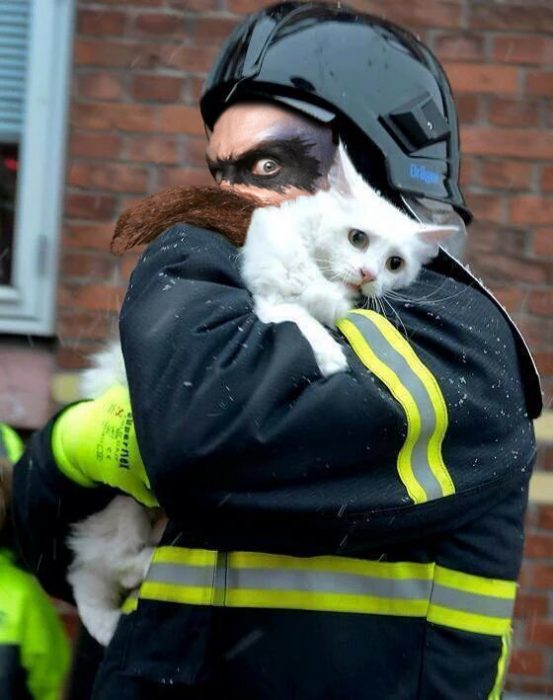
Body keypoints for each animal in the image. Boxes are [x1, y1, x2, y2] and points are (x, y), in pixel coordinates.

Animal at [68, 142, 458, 644]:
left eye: (396, 264)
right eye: (358, 238)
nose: (368, 274)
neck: (321, 271)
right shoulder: (269, 300)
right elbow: (302, 319)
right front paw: (330, 358)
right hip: (120, 510)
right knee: (97, 568)